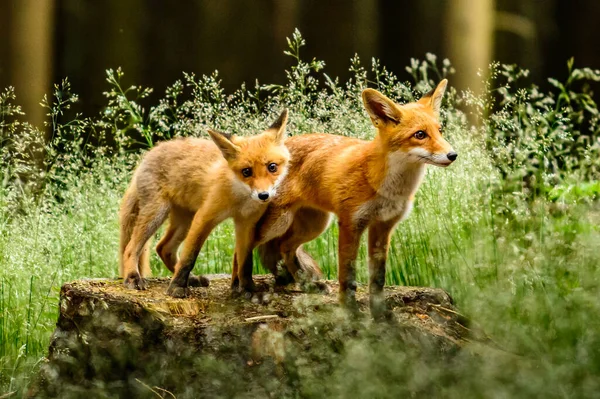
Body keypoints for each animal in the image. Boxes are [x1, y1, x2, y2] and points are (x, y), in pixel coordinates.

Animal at [118, 109, 290, 296]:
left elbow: (245, 262)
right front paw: (177, 287)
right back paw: (133, 277)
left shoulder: (247, 224)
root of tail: (148, 153)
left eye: (272, 167)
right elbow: (189, 256)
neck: (239, 199)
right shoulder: (204, 217)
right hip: (157, 214)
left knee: (163, 248)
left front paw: (248, 288)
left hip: (184, 221)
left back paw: (192, 279)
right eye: (246, 172)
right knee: (131, 248)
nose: (263, 195)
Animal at [252, 81, 454, 318]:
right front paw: (350, 311)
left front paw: (380, 314)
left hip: (314, 225)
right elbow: (347, 276)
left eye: (440, 131)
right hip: (276, 223)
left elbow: (378, 278)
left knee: (284, 247)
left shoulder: (383, 226)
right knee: (248, 246)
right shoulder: (351, 223)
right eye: (420, 134)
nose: (453, 155)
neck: (383, 184)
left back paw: (306, 285)